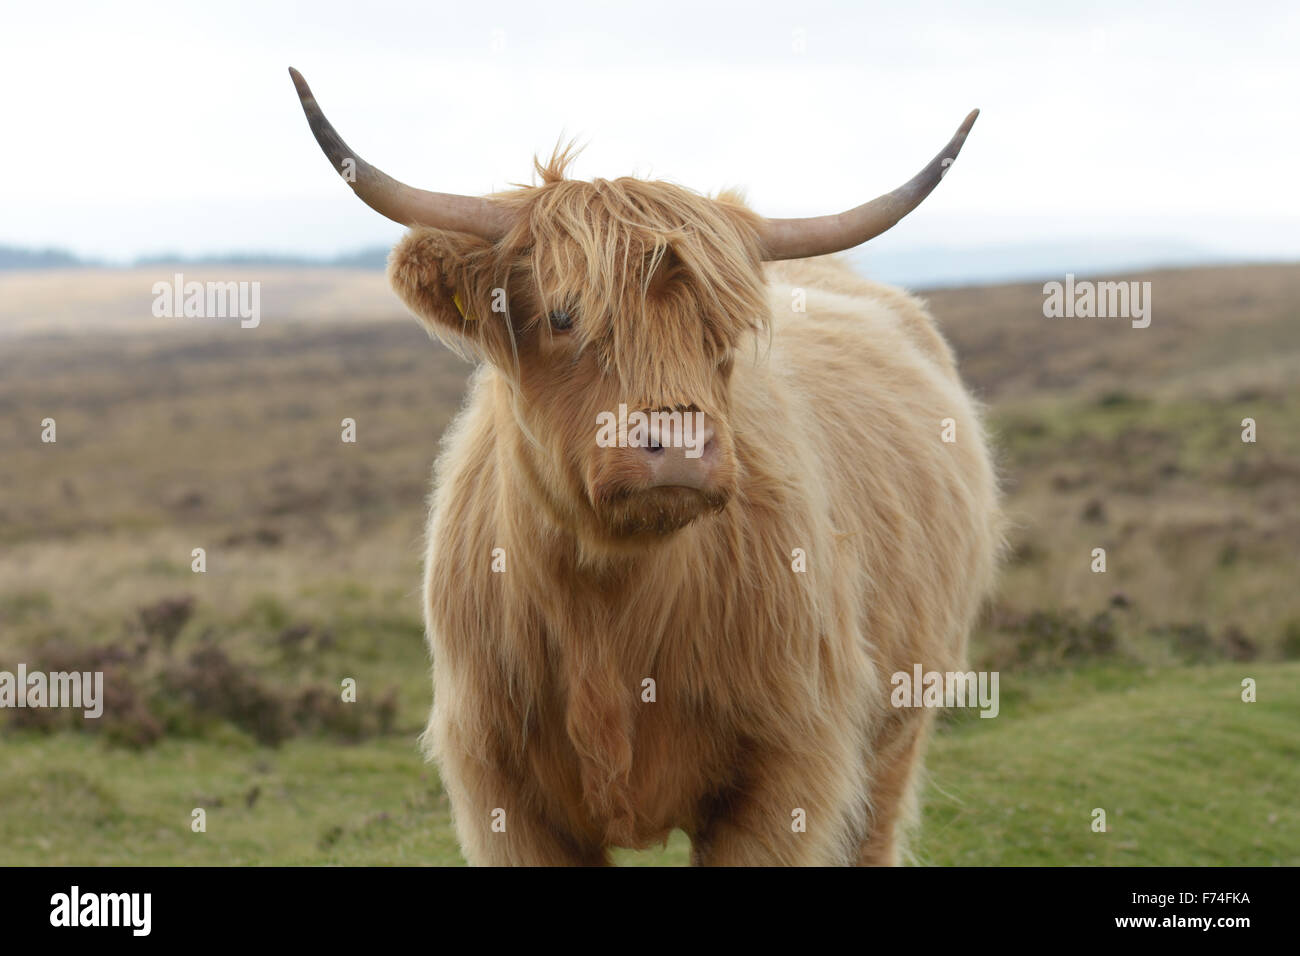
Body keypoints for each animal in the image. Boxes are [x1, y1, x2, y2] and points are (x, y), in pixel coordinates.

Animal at [290, 67, 1001, 866]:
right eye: (563, 315)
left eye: (724, 330)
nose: (681, 445)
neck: (605, 604)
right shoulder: (502, 790)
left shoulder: (787, 770)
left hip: (899, 726)